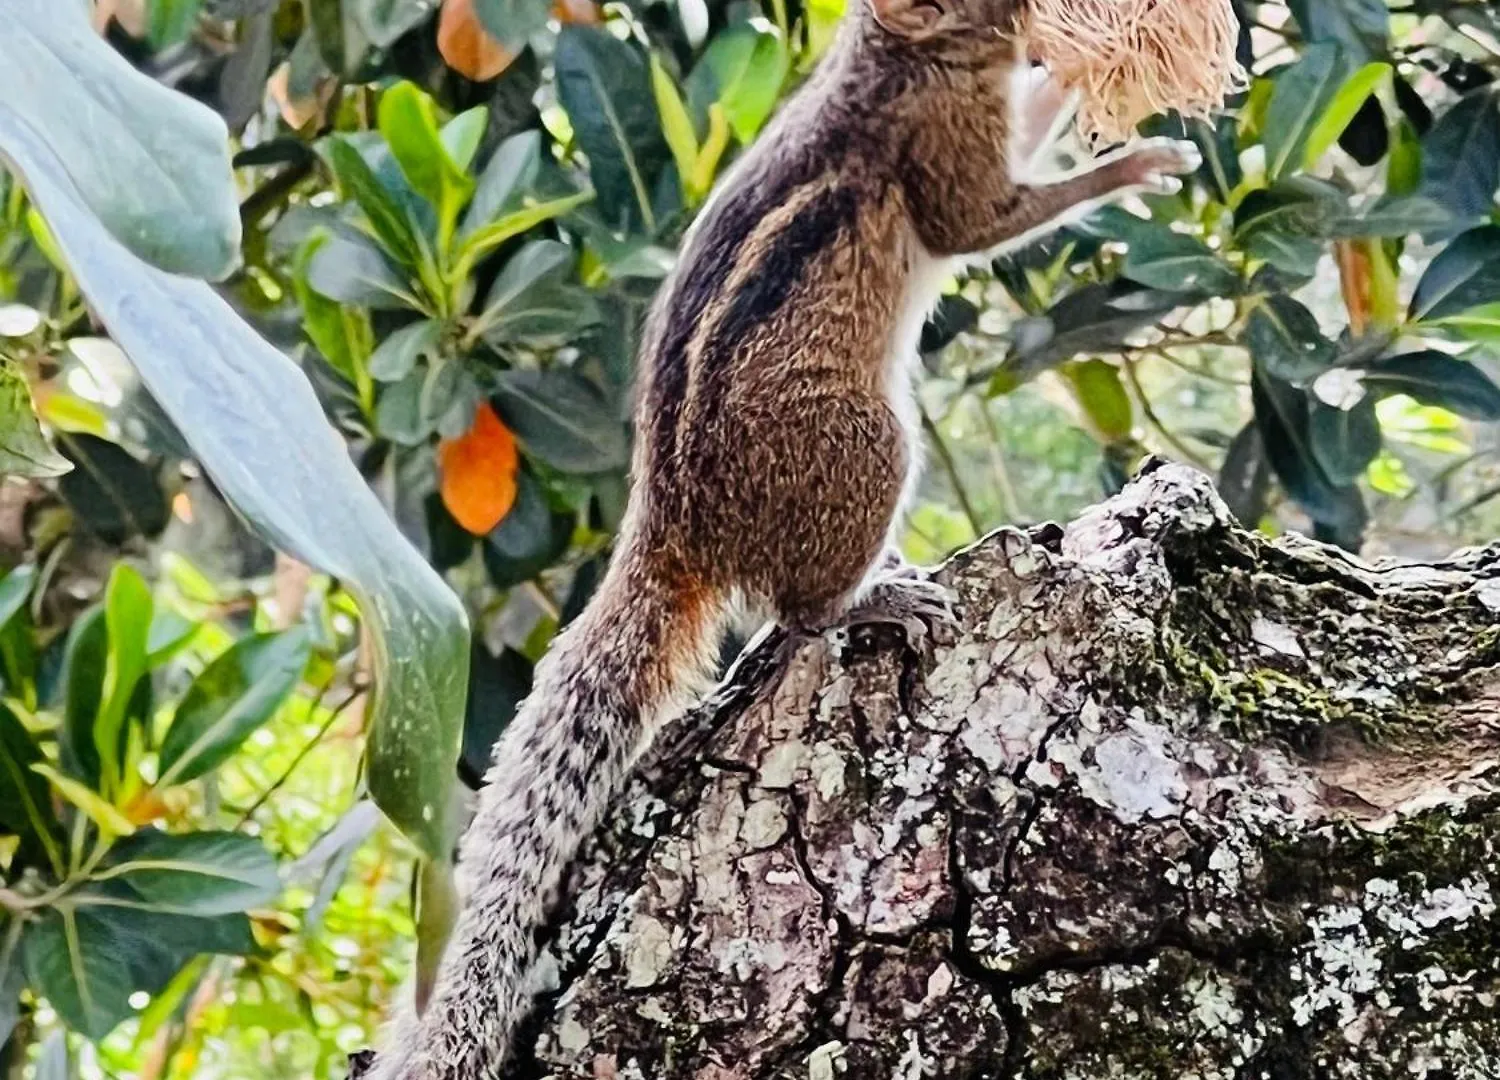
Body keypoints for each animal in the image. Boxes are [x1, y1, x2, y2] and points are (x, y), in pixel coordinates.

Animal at [369, 0, 1200, 1074]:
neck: (899, 61)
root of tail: (673, 527)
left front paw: (1074, 78)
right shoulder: (944, 153)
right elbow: (982, 223)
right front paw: (1140, 165)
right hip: (871, 446)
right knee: (802, 613)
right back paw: (880, 594)